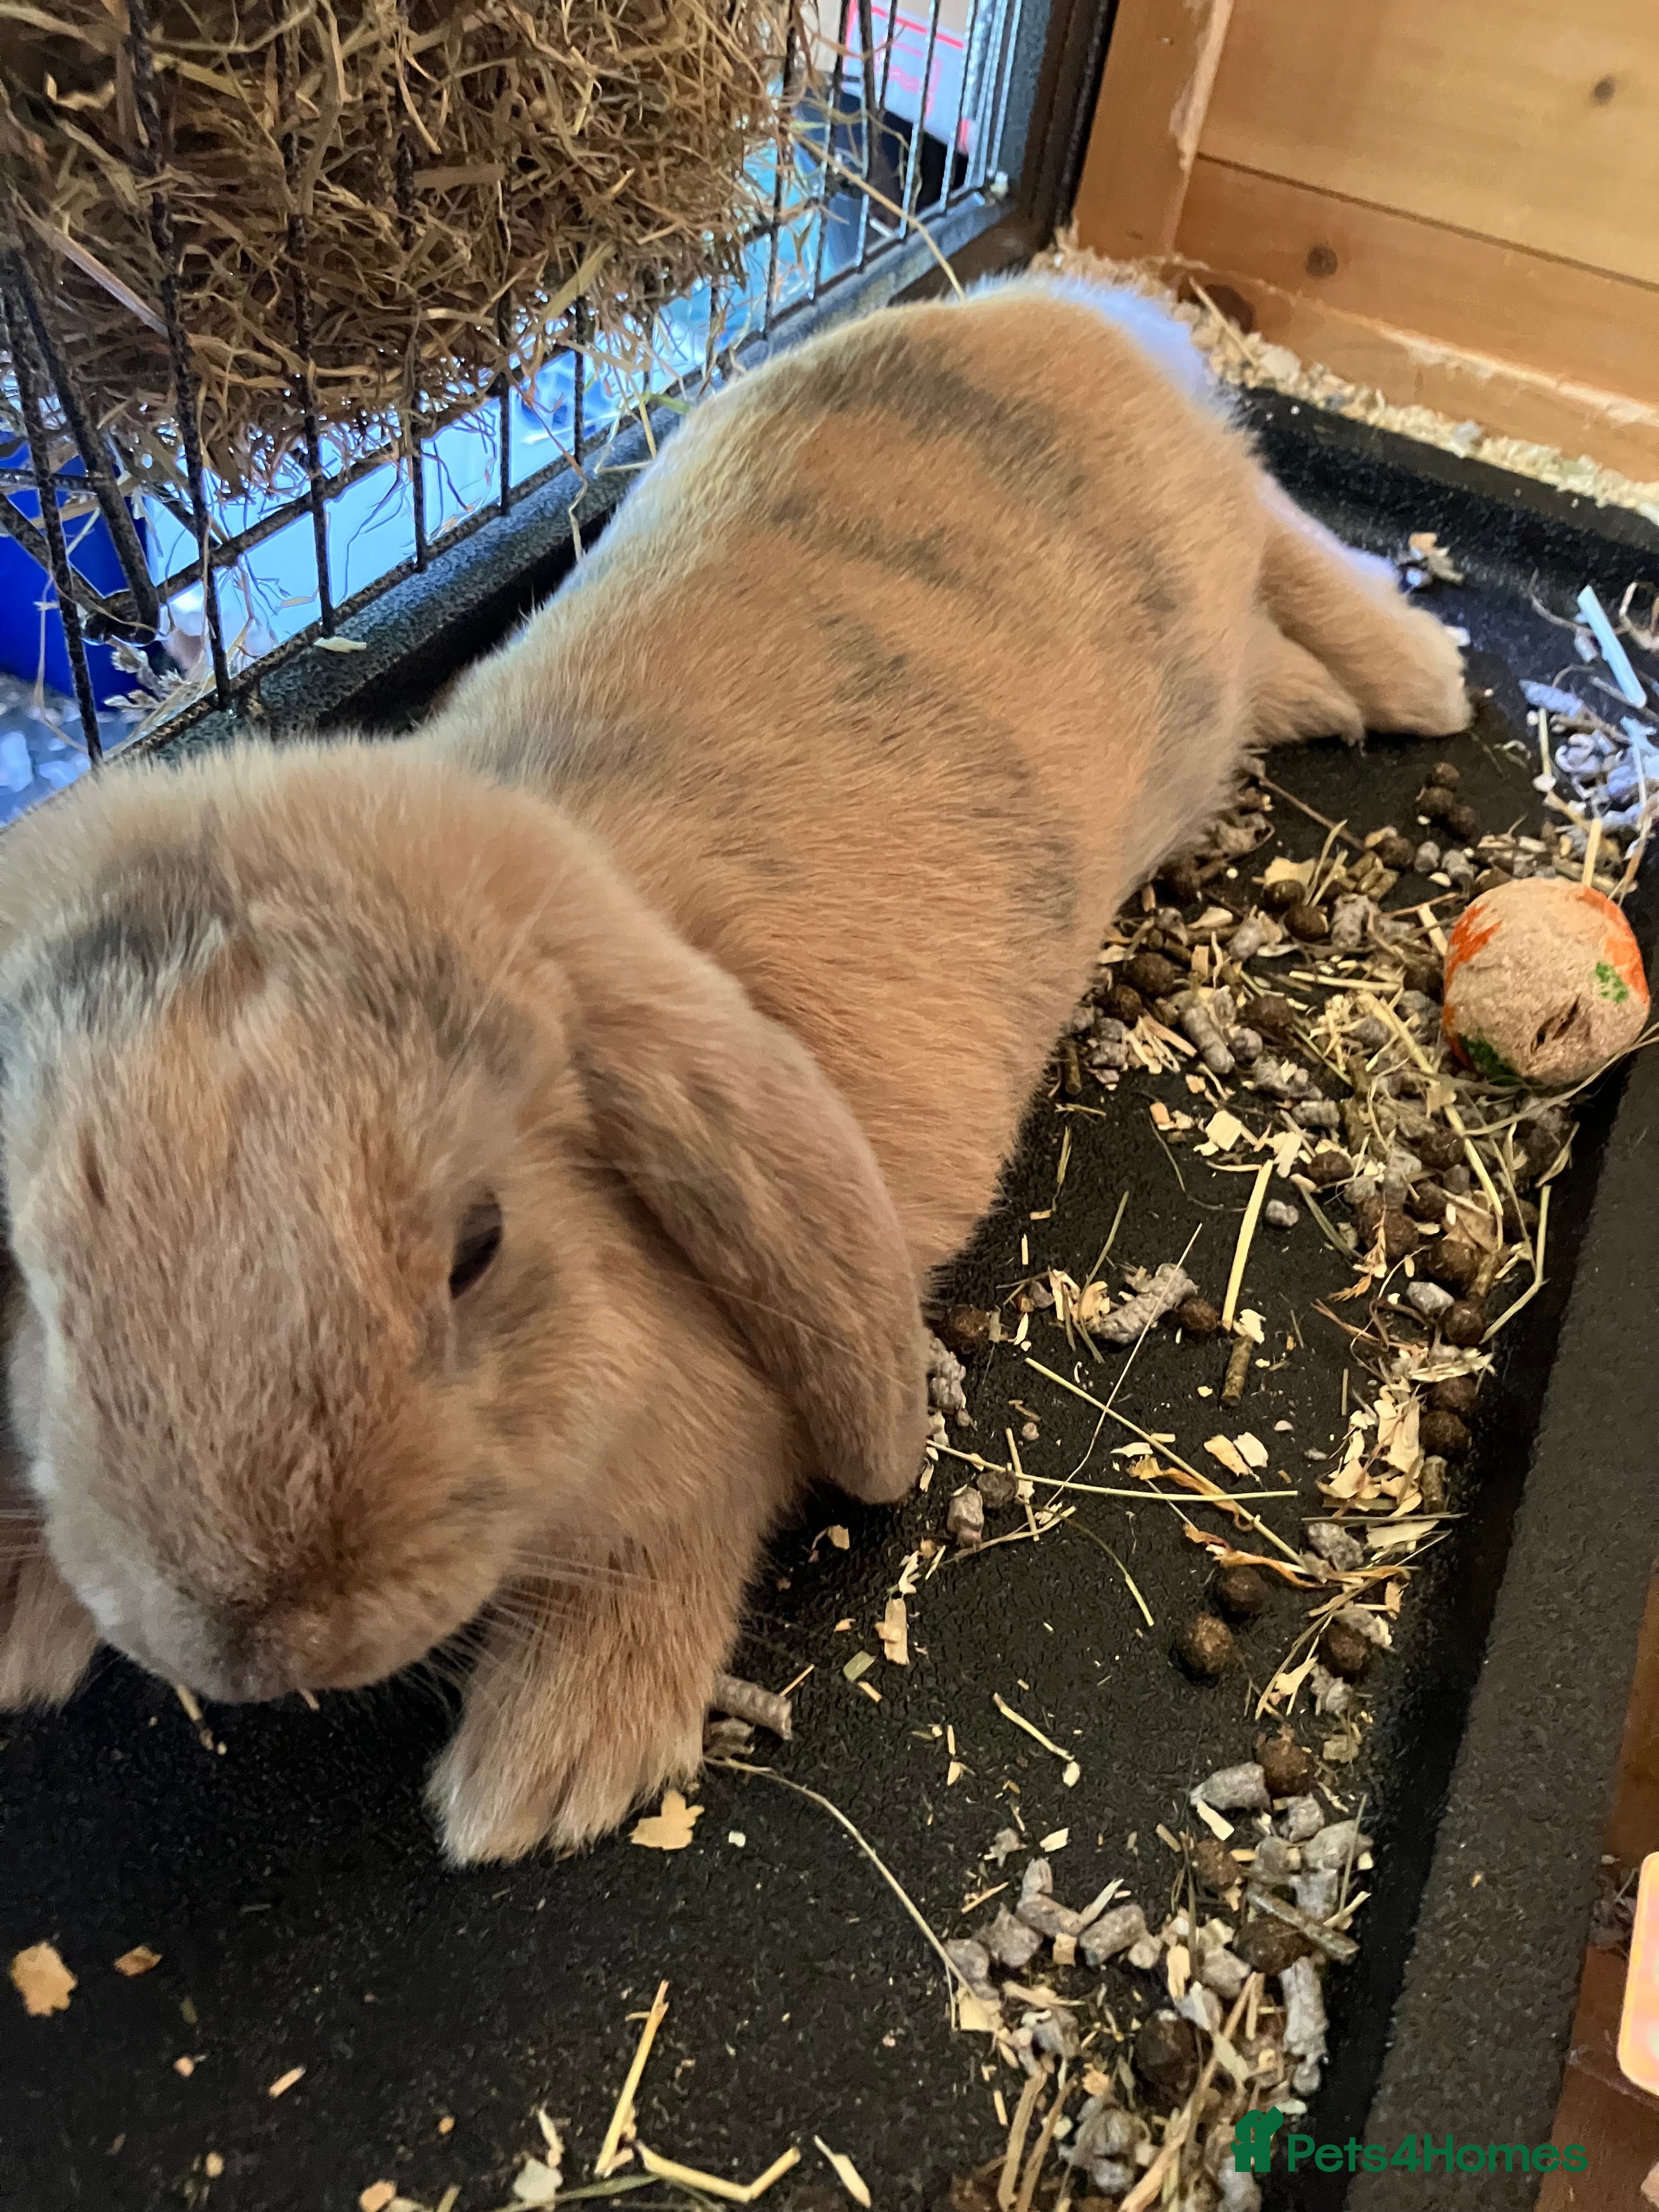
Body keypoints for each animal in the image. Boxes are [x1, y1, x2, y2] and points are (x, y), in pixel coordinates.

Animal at [0, 275, 1468, 1862]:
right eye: (39, 1279)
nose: (249, 1647)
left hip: (1212, 508)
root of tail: (1050, 307)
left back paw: (1423, 680)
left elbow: (667, 1558)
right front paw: (23, 1633)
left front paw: (545, 1769)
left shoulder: (714, 1455)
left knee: (1293, 537)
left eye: (478, 1248)